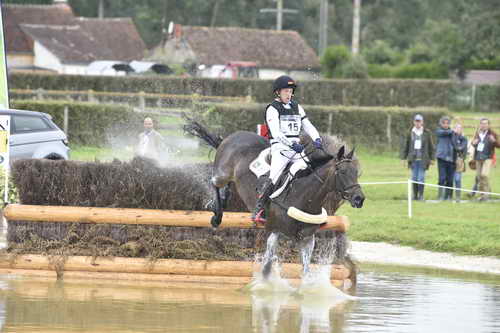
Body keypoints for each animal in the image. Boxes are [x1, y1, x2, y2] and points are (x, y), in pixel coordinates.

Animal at [186, 119, 366, 278]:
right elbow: (267, 268)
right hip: (223, 173)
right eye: (342, 172)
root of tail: (232, 136)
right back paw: (216, 214)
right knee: (214, 182)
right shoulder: (274, 231)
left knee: (226, 186)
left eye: (356, 173)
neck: (305, 196)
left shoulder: (307, 239)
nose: (359, 199)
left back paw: (223, 200)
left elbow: (306, 272)